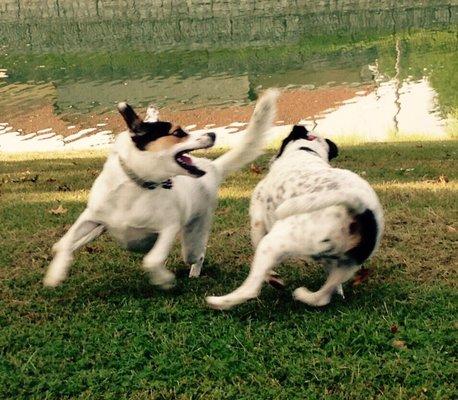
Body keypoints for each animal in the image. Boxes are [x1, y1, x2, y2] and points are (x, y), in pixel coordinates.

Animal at [43, 89, 280, 290]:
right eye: (178, 132)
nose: (213, 134)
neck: (136, 186)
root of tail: (212, 167)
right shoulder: (91, 216)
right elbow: (63, 244)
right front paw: (55, 274)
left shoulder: (168, 228)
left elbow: (152, 260)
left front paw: (164, 279)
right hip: (98, 229)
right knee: (66, 243)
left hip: (193, 241)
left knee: (199, 255)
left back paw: (194, 273)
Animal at [207, 125, 382, 310]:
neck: (305, 151)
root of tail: (359, 206)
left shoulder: (257, 222)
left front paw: (273, 278)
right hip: (347, 264)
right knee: (322, 297)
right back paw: (304, 295)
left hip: (275, 242)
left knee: (251, 289)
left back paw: (219, 302)